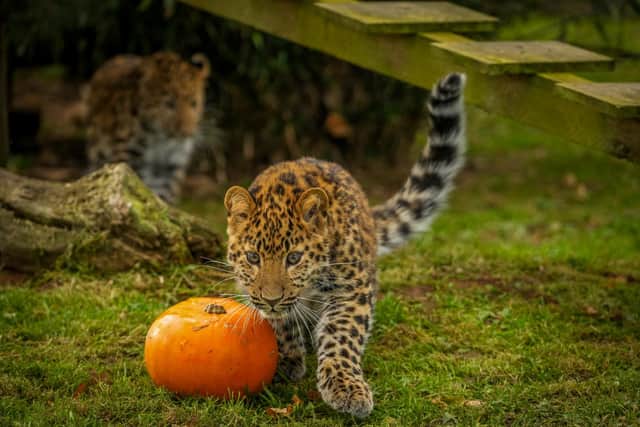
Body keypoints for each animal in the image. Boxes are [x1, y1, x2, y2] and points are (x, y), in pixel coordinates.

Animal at [86, 51, 210, 203]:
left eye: (193, 103)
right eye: (169, 104)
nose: (186, 133)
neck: (159, 137)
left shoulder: (172, 166)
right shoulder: (129, 155)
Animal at [223, 73, 466, 418]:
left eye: (294, 258)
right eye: (252, 257)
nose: (271, 299)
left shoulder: (352, 290)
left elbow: (341, 335)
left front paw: (345, 387)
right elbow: (279, 322)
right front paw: (287, 358)